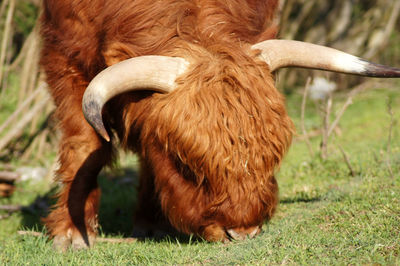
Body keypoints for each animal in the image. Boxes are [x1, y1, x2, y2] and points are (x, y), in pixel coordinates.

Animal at [41, 0, 400, 250]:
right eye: (185, 164)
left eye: (272, 157)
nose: (242, 232)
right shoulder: (65, 56)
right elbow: (86, 148)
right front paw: (72, 233)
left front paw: (151, 222)